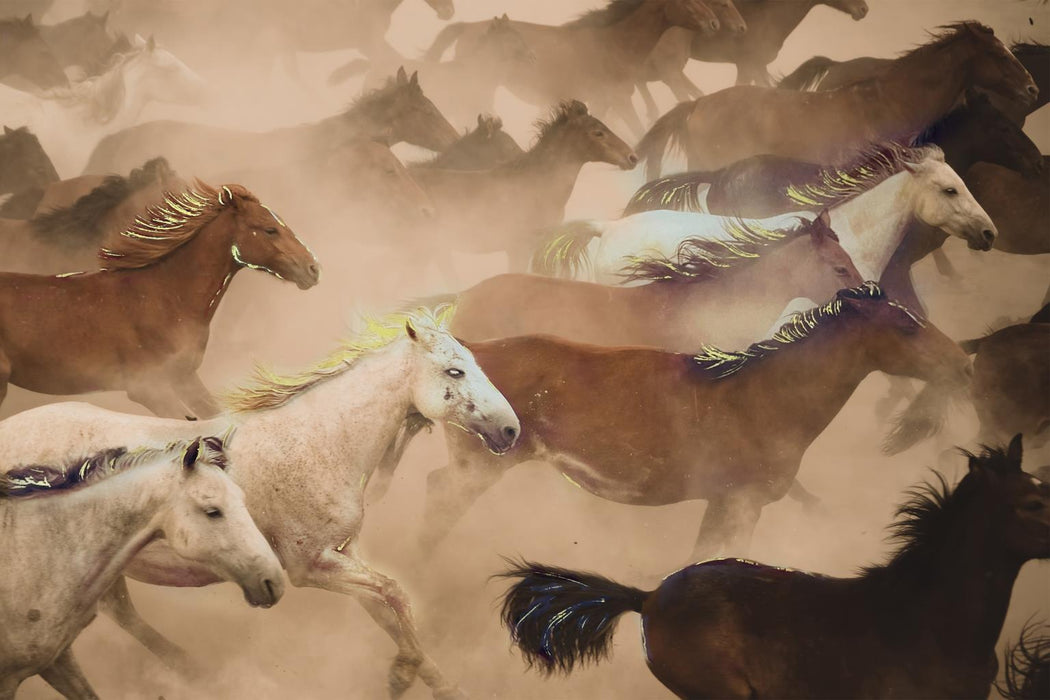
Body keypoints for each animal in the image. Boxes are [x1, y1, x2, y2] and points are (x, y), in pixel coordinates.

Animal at [418, 284, 972, 559]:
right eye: (905, 325)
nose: (963, 363)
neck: (764, 397)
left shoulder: (724, 504)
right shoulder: (740, 503)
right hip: (478, 470)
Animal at [420, 0, 727, 137]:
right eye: (687, 1)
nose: (714, 24)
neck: (613, 44)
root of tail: (466, 28)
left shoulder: (604, 101)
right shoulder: (620, 99)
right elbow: (638, 129)